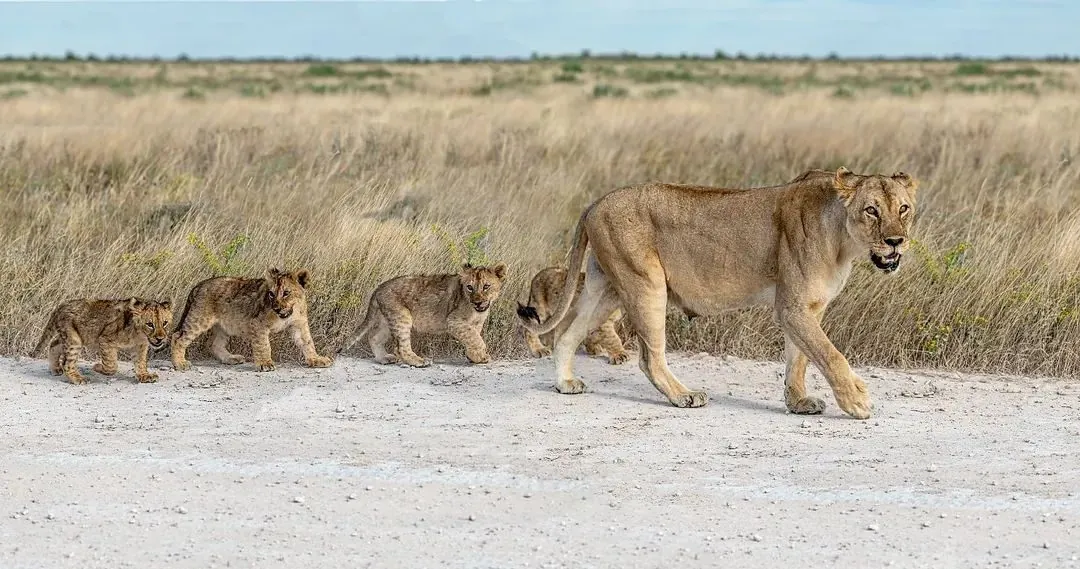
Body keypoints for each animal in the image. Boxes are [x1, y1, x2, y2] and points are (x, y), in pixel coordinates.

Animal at [32, 297, 174, 385]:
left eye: (165, 323)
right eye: (150, 324)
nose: (160, 338)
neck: (140, 335)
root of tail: (61, 306)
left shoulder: (140, 346)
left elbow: (140, 362)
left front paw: (144, 376)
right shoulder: (105, 339)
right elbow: (111, 365)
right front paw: (98, 367)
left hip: (69, 337)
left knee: (54, 343)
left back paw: (55, 369)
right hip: (74, 340)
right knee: (67, 363)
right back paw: (78, 378)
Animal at [169, 268, 334, 372]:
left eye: (286, 293)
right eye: (271, 294)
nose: (276, 308)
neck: (290, 313)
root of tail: (199, 285)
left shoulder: (299, 325)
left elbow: (308, 343)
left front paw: (316, 359)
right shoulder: (257, 324)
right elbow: (264, 345)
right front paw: (265, 364)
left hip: (224, 326)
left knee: (213, 344)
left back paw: (231, 358)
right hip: (199, 319)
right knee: (178, 337)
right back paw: (180, 364)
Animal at [338, 262, 508, 367]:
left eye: (486, 286)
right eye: (470, 287)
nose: (477, 302)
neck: (477, 312)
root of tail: (379, 287)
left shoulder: (475, 324)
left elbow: (472, 338)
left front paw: (474, 357)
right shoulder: (453, 321)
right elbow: (475, 338)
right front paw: (482, 356)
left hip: (386, 319)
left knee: (373, 336)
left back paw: (384, 358)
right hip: (401, 317)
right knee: (400, 347)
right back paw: (419, 361)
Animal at [517, 166, 919, 420]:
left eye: (903, 209)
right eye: (871, 210)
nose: (896, 241)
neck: (843, 241)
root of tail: (594, 203)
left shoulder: (807, 308)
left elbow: (800, 358)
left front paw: (798, 402)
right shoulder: (792, 307)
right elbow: (830, 355)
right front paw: (857, 400)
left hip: (607, 289)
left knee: (566, 333)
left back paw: (565, 383)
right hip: (646, 282)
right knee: (649, 358)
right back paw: (684, 396)